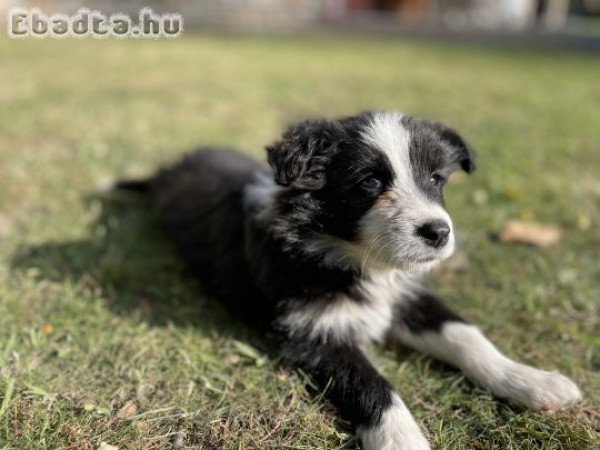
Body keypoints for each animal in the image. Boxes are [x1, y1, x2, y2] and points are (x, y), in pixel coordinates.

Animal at [116, 110, 580, 448]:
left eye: (436, 179)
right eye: (370, 181)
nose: (438, 233)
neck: (361, 261)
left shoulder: (407, 295)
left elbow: (466, 336)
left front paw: (534, 382)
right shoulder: (314, 332)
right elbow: (372, 386)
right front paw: (404, 441)